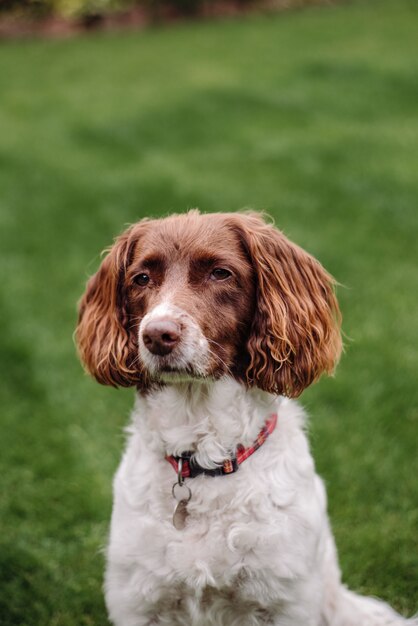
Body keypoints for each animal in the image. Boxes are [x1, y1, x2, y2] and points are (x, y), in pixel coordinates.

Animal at [76, 211, 414, 624]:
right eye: (141, 278)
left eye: (221, 273)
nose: (157, 335)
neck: (205, 457)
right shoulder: (138, 600)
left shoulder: (287, 602)